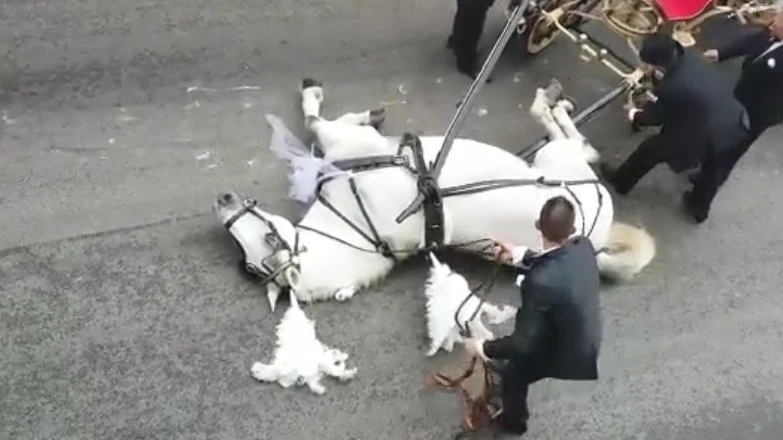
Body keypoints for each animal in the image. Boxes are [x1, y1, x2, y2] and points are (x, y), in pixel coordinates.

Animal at [213, 77, 656, 312]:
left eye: (269, 237)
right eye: (247, 264)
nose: (223, 200)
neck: (358, 221)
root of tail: (596, 241)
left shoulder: (348, 142)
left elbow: (318, 121)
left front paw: (330, 100)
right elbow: (320, 121)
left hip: (557, 164)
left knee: (574, 139)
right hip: (559, 164)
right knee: (574, 141)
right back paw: (553, 102)